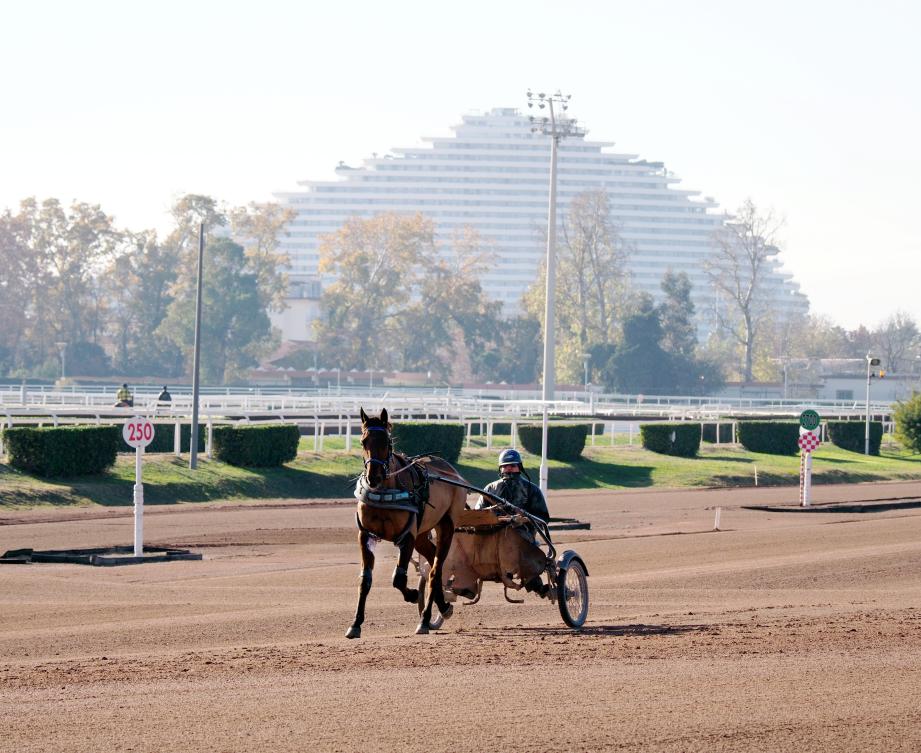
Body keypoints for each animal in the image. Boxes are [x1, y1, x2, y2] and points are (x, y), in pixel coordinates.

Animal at [348, 408, 470, 636]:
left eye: (387, 442)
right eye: (363, 441)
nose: (373, 478)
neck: (385, 492)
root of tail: (453, 472)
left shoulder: (407, 536)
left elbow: (398, 578)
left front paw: (413, 594)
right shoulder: (366, 535)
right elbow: (365, 579)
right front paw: (356, 623)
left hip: (447, 525)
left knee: (435, 570)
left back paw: (426, 619)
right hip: (422, 535)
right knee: (432, 561)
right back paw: (443, 606)